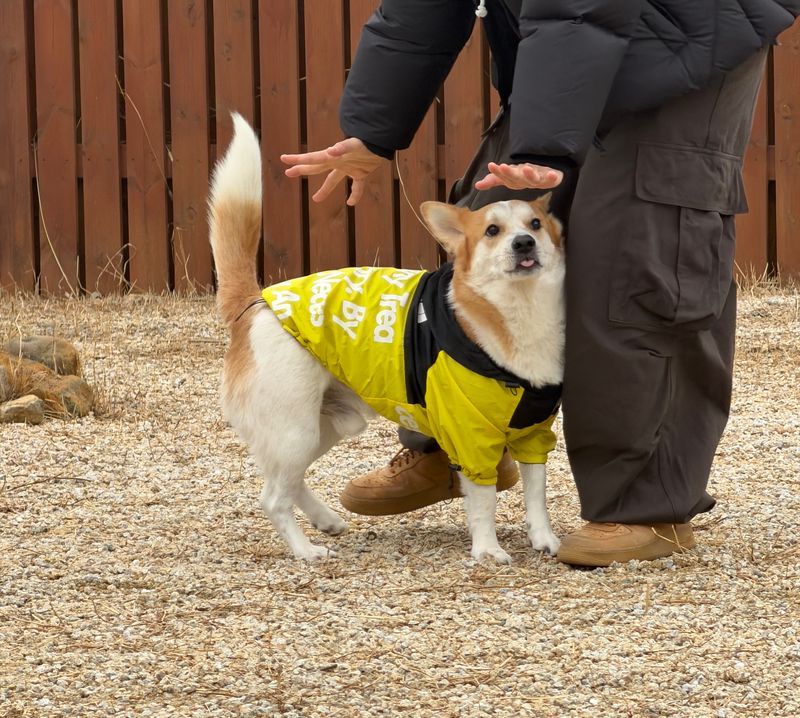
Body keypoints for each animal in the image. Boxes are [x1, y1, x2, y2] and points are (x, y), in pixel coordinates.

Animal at [208, 115, 565, 562]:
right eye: (492, 231)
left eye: (535, 225)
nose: (524, 243)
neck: (519, 310)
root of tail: (256, 304)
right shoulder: (470, 438)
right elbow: (483, 501)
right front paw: (487, 551)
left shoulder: (533, 432)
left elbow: (538, 494)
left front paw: (544, 538)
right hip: (294, 429)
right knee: (273, 497)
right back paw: (306, 550)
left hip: (322, 428)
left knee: (286, 482)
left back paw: (325, 520)